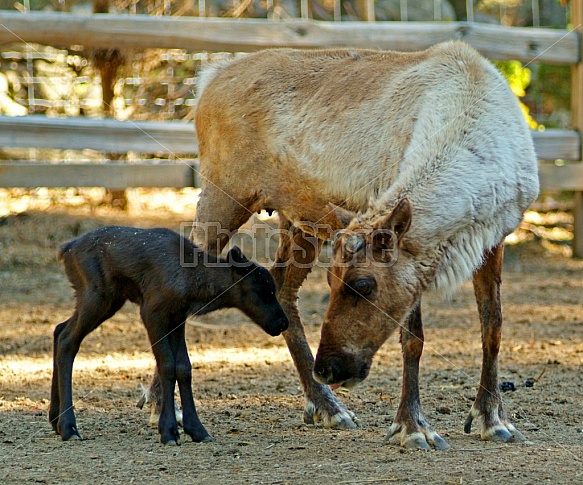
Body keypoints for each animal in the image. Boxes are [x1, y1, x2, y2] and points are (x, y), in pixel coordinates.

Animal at [50, 225, 290, 444]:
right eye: (261, 290)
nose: (282, 322)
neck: (195, 286)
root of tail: (65, 250)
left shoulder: (178, 317)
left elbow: (184, 367)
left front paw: (197, 430)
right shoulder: (152, 312)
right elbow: (167, 365)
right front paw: (168, 431)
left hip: (108, 299)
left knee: (59, 329)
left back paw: (55, 420)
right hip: (97, 295)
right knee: (68, 339)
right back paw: (69, 427)